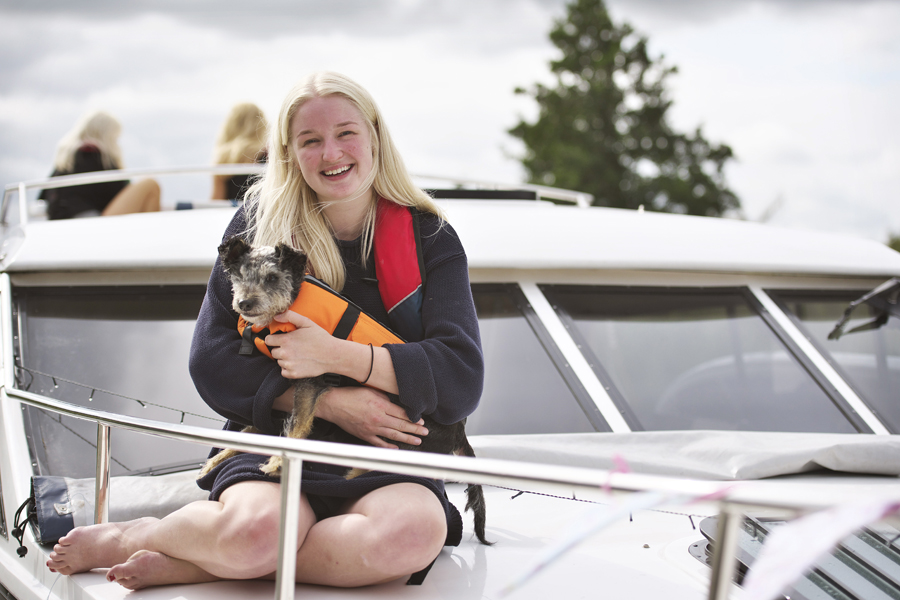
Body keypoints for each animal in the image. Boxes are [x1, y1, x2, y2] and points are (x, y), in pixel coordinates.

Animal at [200, 237, 492, 548]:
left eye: (272, 278)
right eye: (239, 276)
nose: (245, 302)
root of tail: (459, 433)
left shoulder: (310, 378)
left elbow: (296, 428)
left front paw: (279, 462)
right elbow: (256, 429)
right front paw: (218, 458)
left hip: (404, 443)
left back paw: (353, 472)